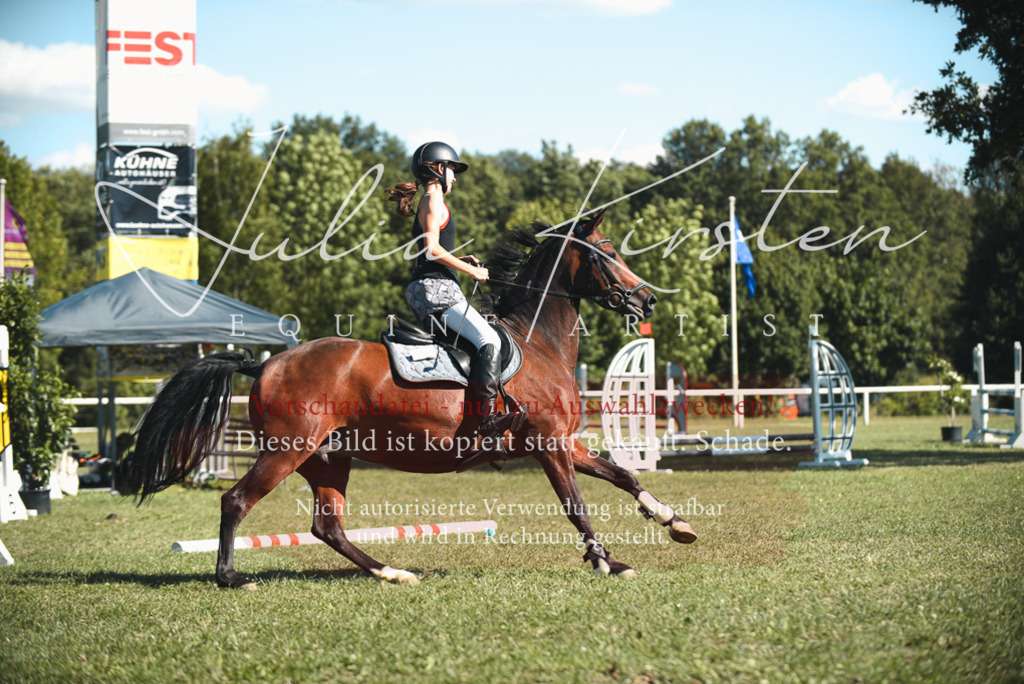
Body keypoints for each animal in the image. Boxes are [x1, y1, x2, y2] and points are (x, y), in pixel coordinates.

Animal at [119, 209, 696, 588]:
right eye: (610, 255)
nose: (646, 299)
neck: (538, 342)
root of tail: (266, 363)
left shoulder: (561, 442)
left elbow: (623, 475)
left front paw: (673, 521)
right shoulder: (549, 446)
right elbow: (576, 504)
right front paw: (607, 561)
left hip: (328, 458)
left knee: (327, 525)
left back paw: (391, 572)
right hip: (286, 452)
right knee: (236, 502)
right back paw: (231, 577)